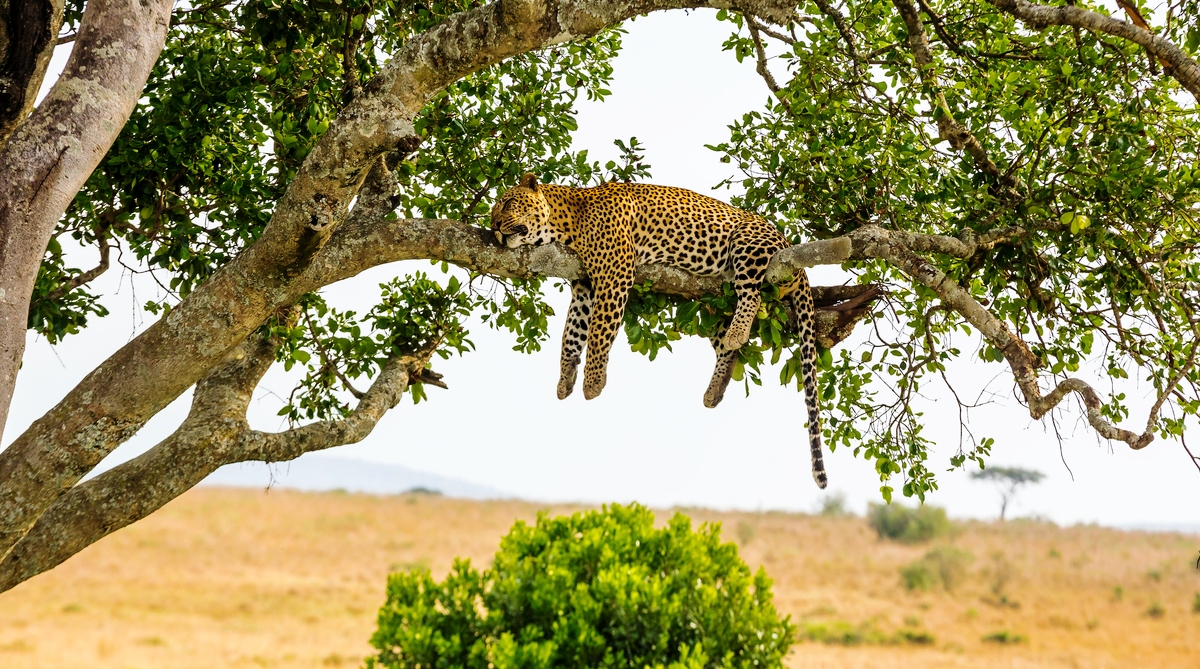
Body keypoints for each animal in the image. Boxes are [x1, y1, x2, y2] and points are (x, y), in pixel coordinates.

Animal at [491, 173, 827, 488]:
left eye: (508, 203)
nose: (493, 224)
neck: (566, 222)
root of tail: (787, 243)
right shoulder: (584, 286)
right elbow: (571, 335)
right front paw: (565, 379)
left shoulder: (614, 274)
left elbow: (599, 331)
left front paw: (593, 382)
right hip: (713, 302)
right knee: (724, 345)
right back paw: (716, 387)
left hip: (748, 244)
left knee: (753, 296)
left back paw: (738, 333)